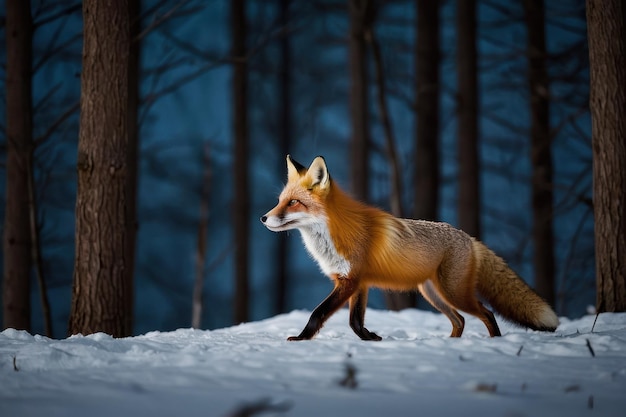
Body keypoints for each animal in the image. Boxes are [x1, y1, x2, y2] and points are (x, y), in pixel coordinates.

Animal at [258, 154, 556, 340]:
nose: (263, 218)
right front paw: (371, 339)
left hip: (453, 292)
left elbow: (318, 314)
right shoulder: (359, 282)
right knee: (460, 320)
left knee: (487, 314)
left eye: (293, 203)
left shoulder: (350, 281)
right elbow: (355, 322)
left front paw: (300, 339)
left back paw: (493, 343)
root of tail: (468, 238)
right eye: (280, 200)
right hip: (433, 293)